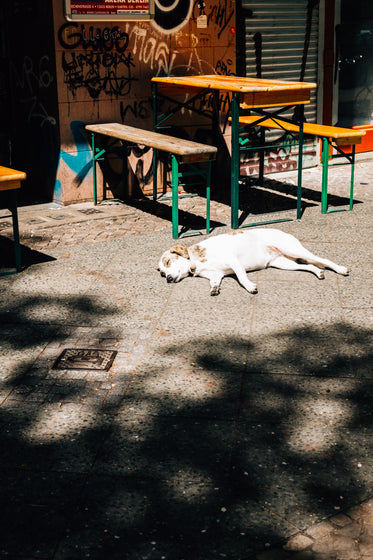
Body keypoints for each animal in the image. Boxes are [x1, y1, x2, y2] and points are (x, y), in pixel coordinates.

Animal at [155, 229, 348, 298]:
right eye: (162, 273)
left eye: (168, 261)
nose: (168, 279)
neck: (196, 263)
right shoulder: (216, 275)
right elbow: (214, 282)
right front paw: (214, 289)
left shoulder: (234, 262)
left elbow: (241, 278)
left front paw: (250, 287)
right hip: (283, 263)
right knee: (309, 265)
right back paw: (318, 272)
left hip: (294, 250)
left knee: (323, 260)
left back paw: (340, 269)